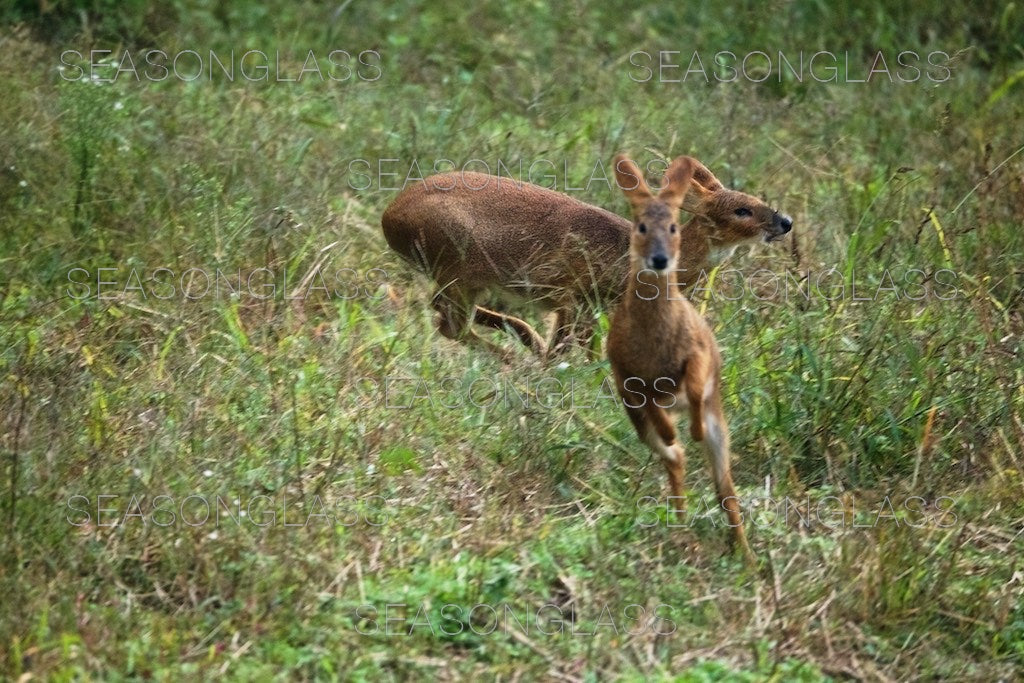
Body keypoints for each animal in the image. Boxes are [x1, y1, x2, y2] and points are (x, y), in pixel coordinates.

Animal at [380, 160, 786, 360]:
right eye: (742, 210)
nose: (786, 222)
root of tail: (389, 216)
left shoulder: (580, 302)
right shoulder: (574, 291)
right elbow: (580, 350)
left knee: (446, 317)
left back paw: (526, 345)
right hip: (459, 262)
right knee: (449, 323)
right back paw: (516, 358)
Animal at [606, 153, 753, 557]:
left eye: (674, 227)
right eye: (640, 226)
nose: (659, 259)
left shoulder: (697, 353)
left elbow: (695, 381)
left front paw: (693, 428)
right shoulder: (625, 373)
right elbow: (652, 402)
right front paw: (673, 430)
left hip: (721, 428)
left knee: (726, 489)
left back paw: (744, 554)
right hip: (637, 422)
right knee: (676, 458)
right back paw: (680, 517)